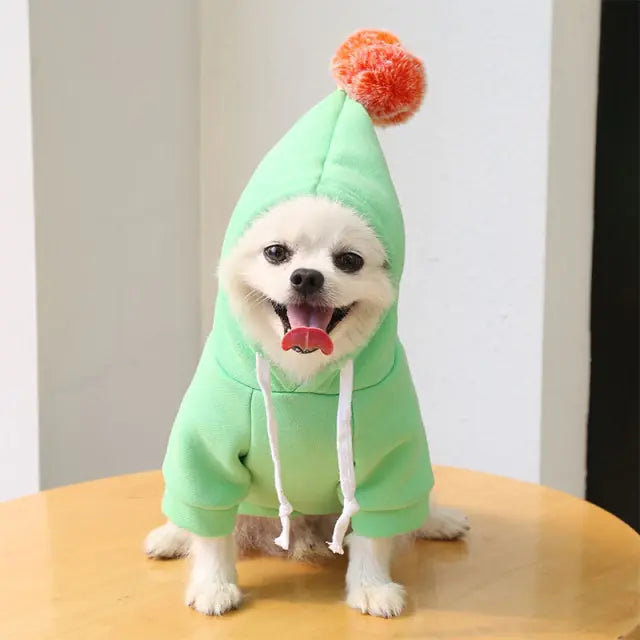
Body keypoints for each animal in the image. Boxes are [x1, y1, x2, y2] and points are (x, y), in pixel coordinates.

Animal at [146, 198, 470, 616]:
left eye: (349, 260)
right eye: (275, 252)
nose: (306, 277)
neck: (303, 380)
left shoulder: (383, 462)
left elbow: (374, 532)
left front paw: (371, 586)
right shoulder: (208, 458)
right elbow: (210, 529)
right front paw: (213, 584)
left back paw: (438, 520)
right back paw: (170, 536)